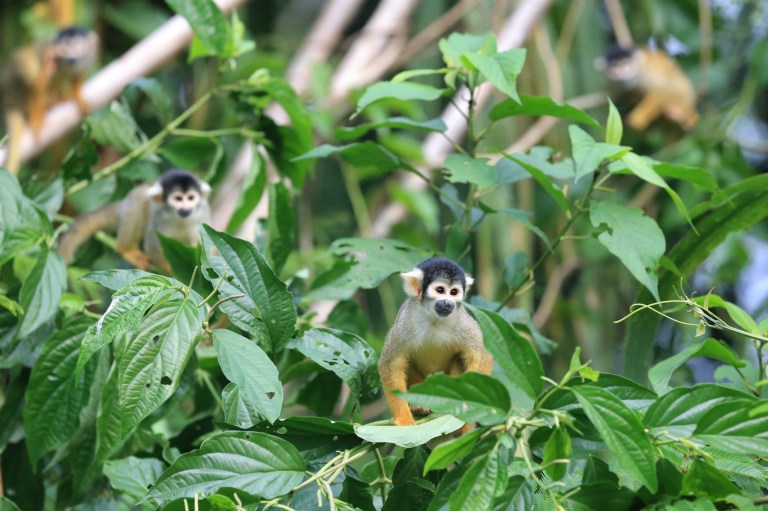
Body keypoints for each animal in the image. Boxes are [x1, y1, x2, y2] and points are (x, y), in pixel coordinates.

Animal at [1, 26, 98, 174]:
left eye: (77, 45)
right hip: (11, 83)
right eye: (64, 47)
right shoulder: (52, 53)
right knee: (27, 65)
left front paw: (77, 96)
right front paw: (36, 119)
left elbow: (78, 74)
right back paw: (41, 83)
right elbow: (39, 89)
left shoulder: (89, 57)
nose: (71, 57)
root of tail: (8, 101)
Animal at [58, 169, 211, 271]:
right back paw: (126, 249)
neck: (180, 219)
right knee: (139, 200)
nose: (186, 207)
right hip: (133, 202)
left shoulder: (202, 217)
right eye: (178, 198)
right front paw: (177, 275)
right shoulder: (158, 221)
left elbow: (204, 250)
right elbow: (153, 249)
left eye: (191, 198)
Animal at [378, 257, 493, 433]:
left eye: (454, 292)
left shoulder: (462, 321)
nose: (447, 302)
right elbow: (390, 364)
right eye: (440, 290)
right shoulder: (404, 321)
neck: (434, 319)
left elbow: (482, 355)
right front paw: (404, 419)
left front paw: (470, 405)